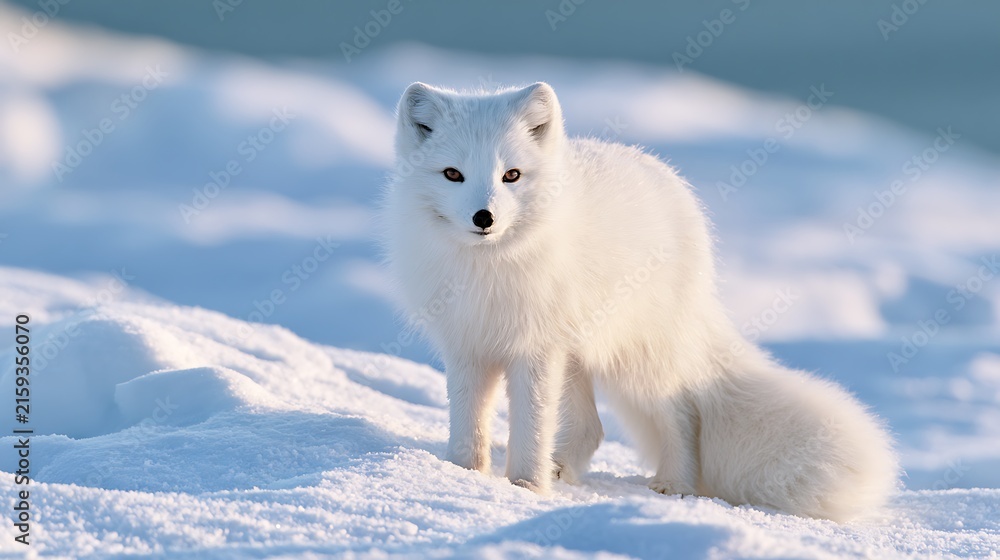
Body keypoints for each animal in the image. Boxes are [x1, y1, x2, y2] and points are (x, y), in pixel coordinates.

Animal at [381, 81, 899, 521]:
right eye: (453, 174)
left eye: (512, 175)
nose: (484, 217)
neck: (487, 270)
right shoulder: (467, 345)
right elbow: (468, 424)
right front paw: (463, 476)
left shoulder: (535, 350)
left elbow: (531, 426)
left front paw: (525, 490)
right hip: (579, 355)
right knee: (591, 428)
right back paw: (562, 470)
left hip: (637, 359)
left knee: (683, 413)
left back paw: (675, 485)